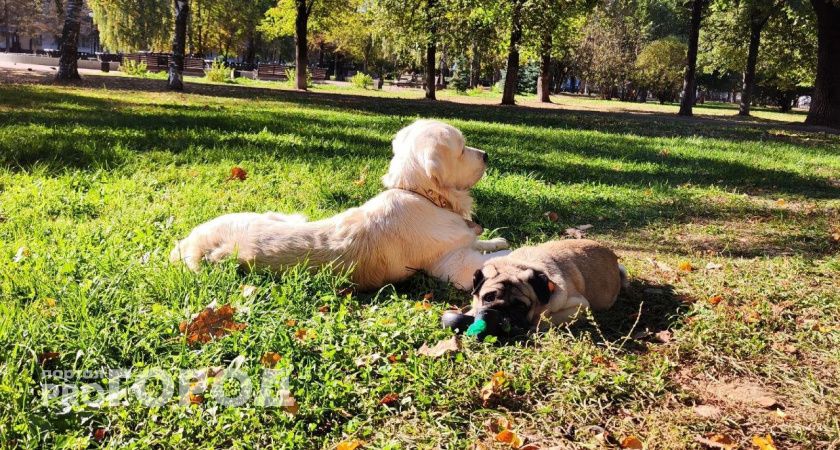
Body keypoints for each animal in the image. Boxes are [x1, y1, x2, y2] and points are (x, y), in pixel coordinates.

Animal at [170, 119, 508, 290]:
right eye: (462, 149)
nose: (487, 155)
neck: (422, 196)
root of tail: (190, 241)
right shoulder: (454, 264)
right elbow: (496, 258)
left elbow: (480, 241)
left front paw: (495, 239)